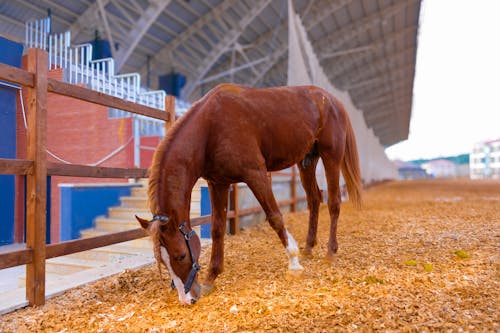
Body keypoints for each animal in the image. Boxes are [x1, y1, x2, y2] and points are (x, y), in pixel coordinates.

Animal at [137, 83, 362, 304]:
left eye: (181, 255)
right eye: (162, 261)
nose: (188, 299)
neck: (210, 128)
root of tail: (333, 101)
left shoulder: (256, 174)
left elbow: (275, 218)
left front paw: (294, 263)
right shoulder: (218, 183)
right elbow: (217, 229)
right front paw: (211, 277)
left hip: (331, 156)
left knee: (333, 202)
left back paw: (330, 252)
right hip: (307, 161)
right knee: (314, 199)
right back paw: (308, 248)